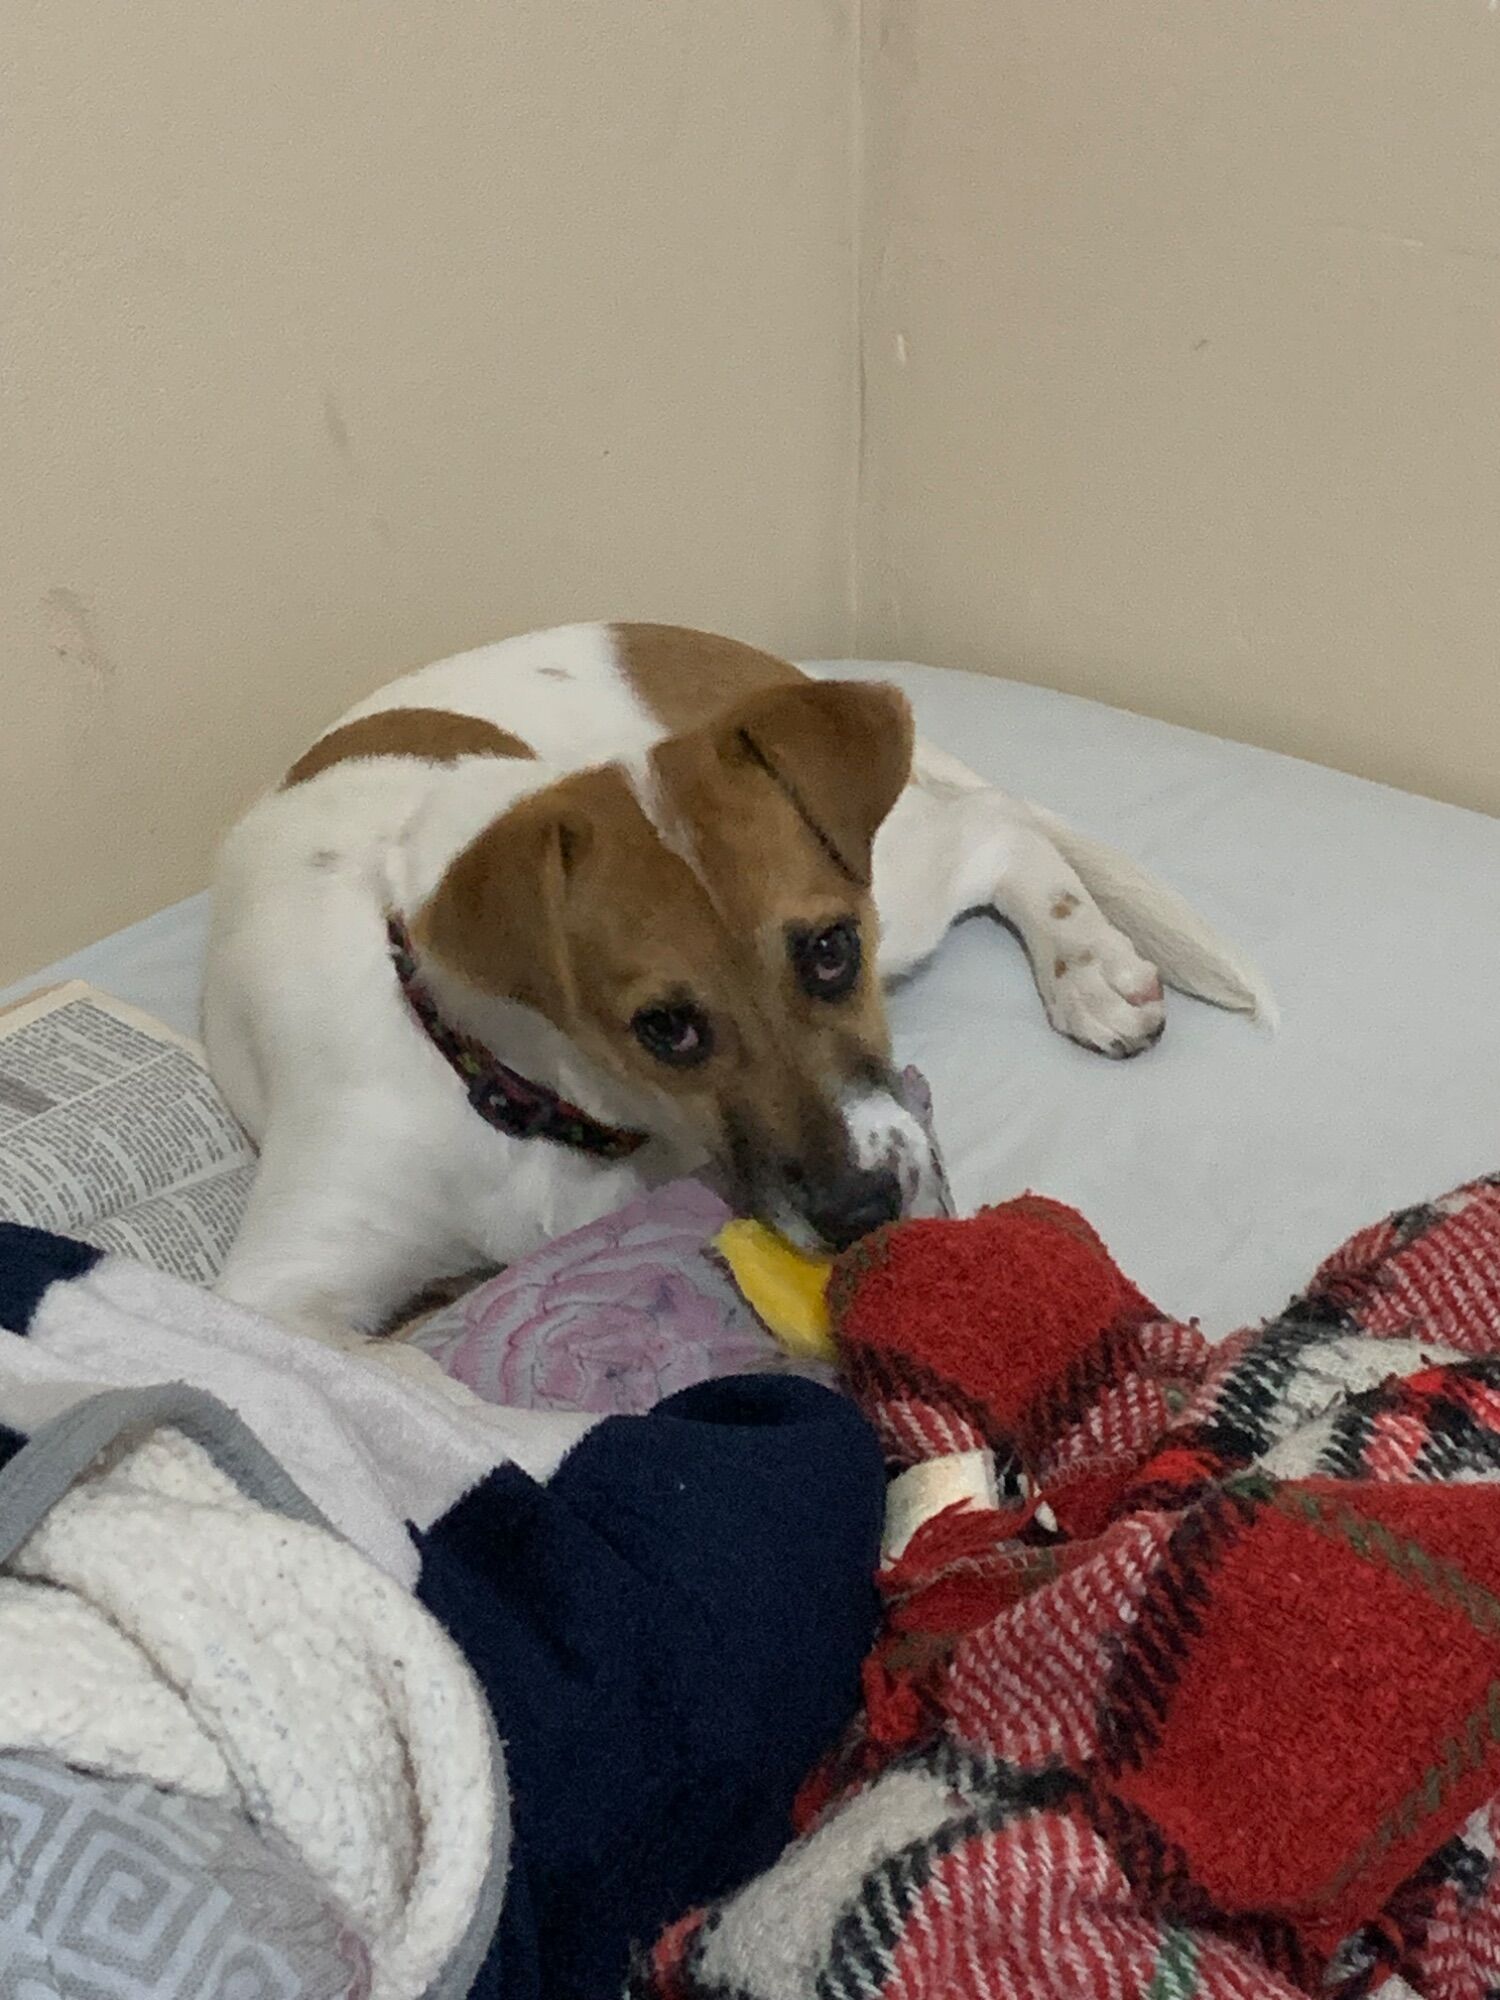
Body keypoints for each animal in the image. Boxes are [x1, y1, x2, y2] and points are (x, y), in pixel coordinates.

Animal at [204, 623, 1272, 1341]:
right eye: (665, 1028)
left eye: (831, 951)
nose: (862, 1214)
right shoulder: (277, 1296)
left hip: (900, 889)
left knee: (998, 827)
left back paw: (1088, 966)